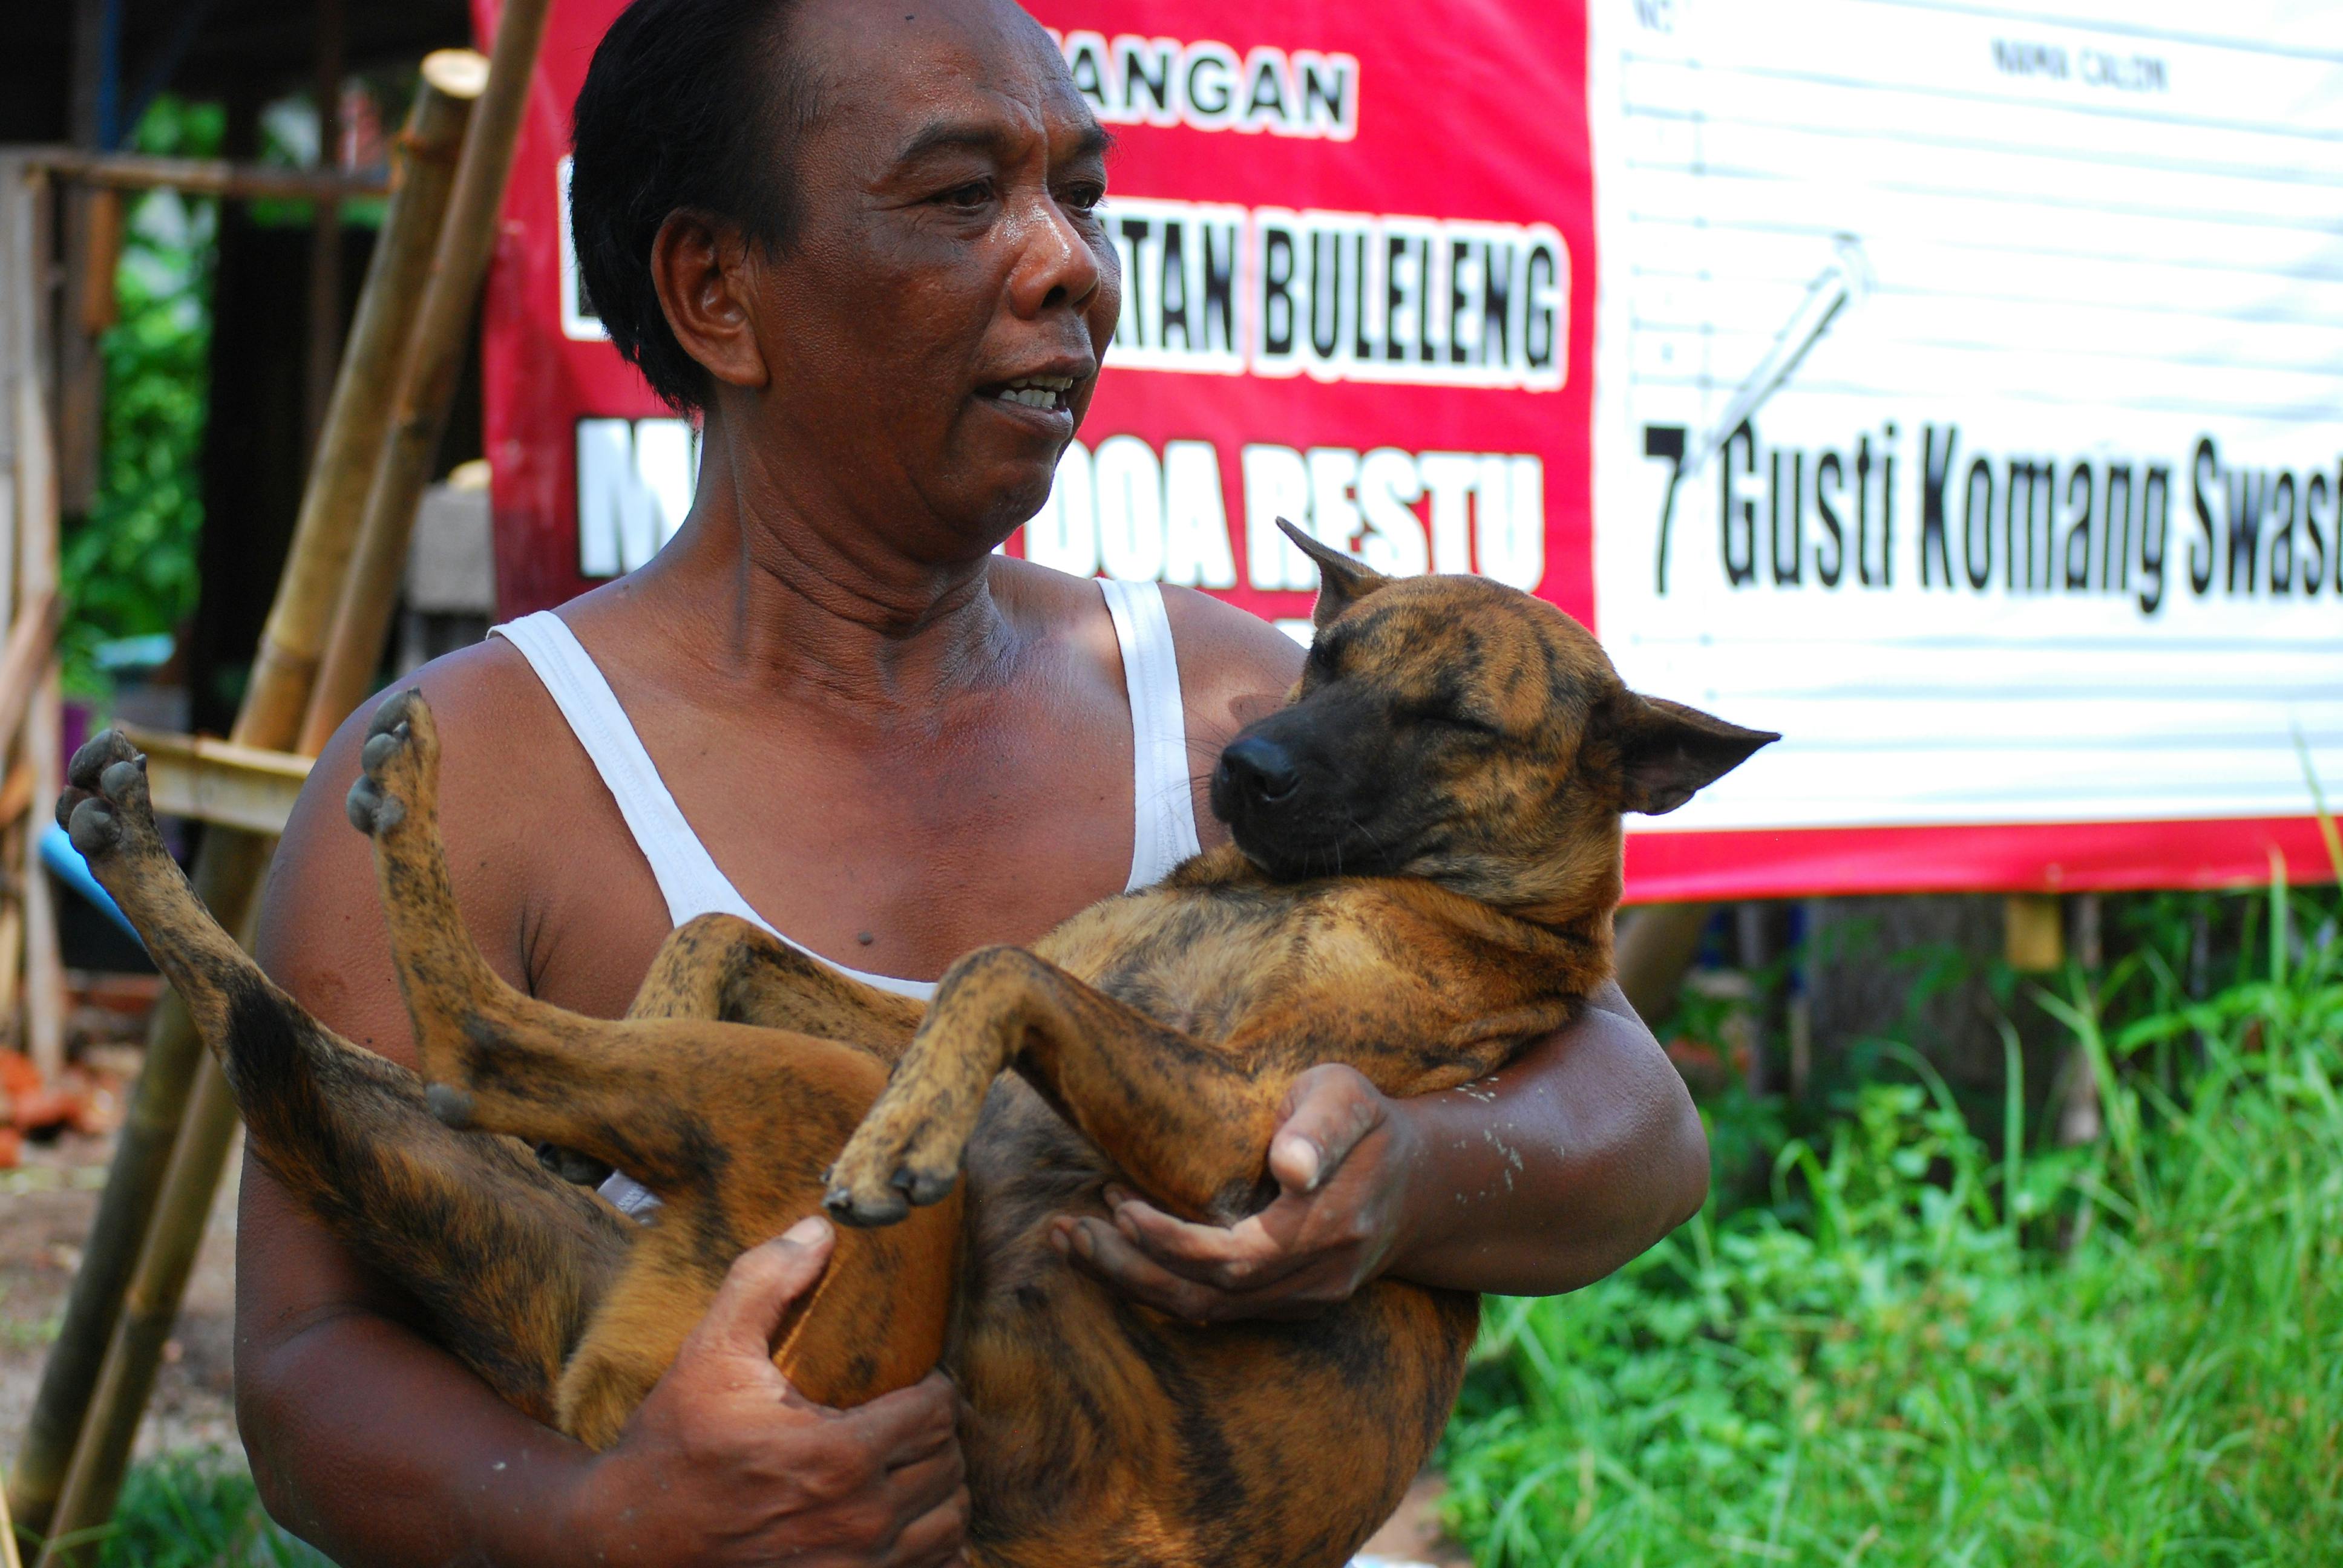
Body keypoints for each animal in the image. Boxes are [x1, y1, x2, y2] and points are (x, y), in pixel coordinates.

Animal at [54, 524, 1761, 1566]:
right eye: (1324, 661)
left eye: (1459, 724)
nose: (1249, 767)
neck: (1291, 888)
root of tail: (612, 1413)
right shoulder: (966, 1014)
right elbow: (744, 940)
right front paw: (707, 1027)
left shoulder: (1238, 1145)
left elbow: (992, 974)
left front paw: (906, 1139)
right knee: (310, 1035)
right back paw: (139, 836)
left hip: (794, 1163)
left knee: (464, 1035)